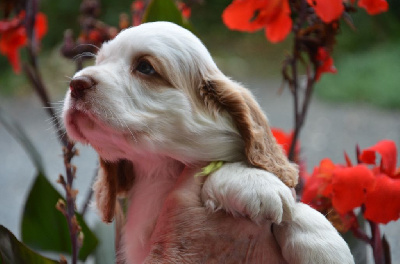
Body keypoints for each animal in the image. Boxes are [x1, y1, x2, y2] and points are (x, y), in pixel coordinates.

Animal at [62, 21, 354, 262]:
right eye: (100, 61)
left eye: (145, 67)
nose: (76, 83)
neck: (165, 170)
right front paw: (255, 183)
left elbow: (298, 209)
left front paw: (323, 246)